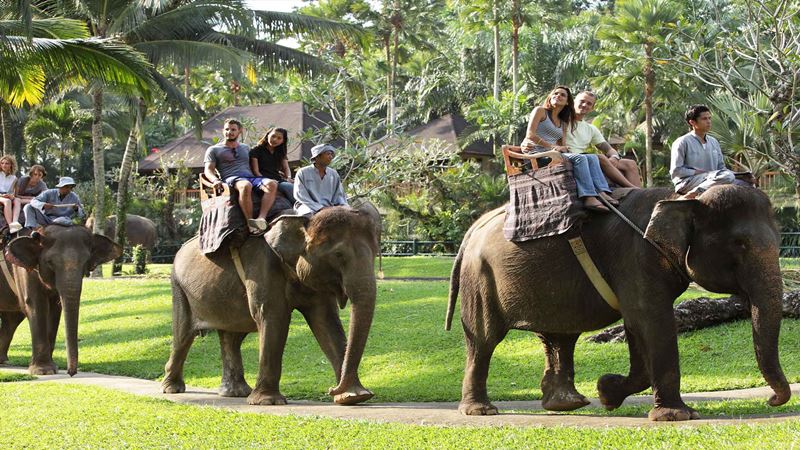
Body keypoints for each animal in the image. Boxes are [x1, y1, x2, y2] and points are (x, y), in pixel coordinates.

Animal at [0, 225, 122, 375]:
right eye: (50, 263)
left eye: (86, 262)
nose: (71, 373)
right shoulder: (24, 271)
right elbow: (36, 305)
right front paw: (43, 371)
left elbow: (55, 310)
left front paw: (52, 368)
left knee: (11, 319)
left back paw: (2, 360)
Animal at [162, 203, 380, 406]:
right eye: (338, 255)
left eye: (375, 252)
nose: (331, 389)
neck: (303, 221)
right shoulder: (262, 267)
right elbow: (273, 317)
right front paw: (268, 401)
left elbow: (326, 322)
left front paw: (354, 397)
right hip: (179, 287)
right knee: (183, 334)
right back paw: (172, 389)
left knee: (232, 336)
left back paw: (236, 392)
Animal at [446, 185, 791, 421]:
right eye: (740, 244)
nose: (772, 401)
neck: (682, 198)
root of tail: (473, 228)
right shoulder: (635, 257)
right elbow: (653, 321)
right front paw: (676, 416)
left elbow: (637, 326)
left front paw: (607, 393)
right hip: (481, 279)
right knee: (484, 339)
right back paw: (481, 411)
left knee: (559, 336)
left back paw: (567, 404)